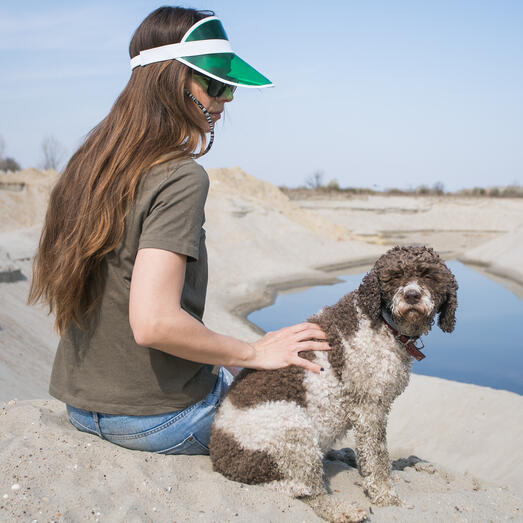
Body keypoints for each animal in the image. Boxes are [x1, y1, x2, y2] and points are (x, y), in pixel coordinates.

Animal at [209, 247, 458, 523]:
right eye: (394, 276)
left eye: (429, 276)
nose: (412, 295)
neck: (383, 324)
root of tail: (219, 458)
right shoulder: (369, 407)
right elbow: (378, 458)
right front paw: (387, 497)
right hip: (291, 429)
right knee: (304, 491)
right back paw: (342, 509)